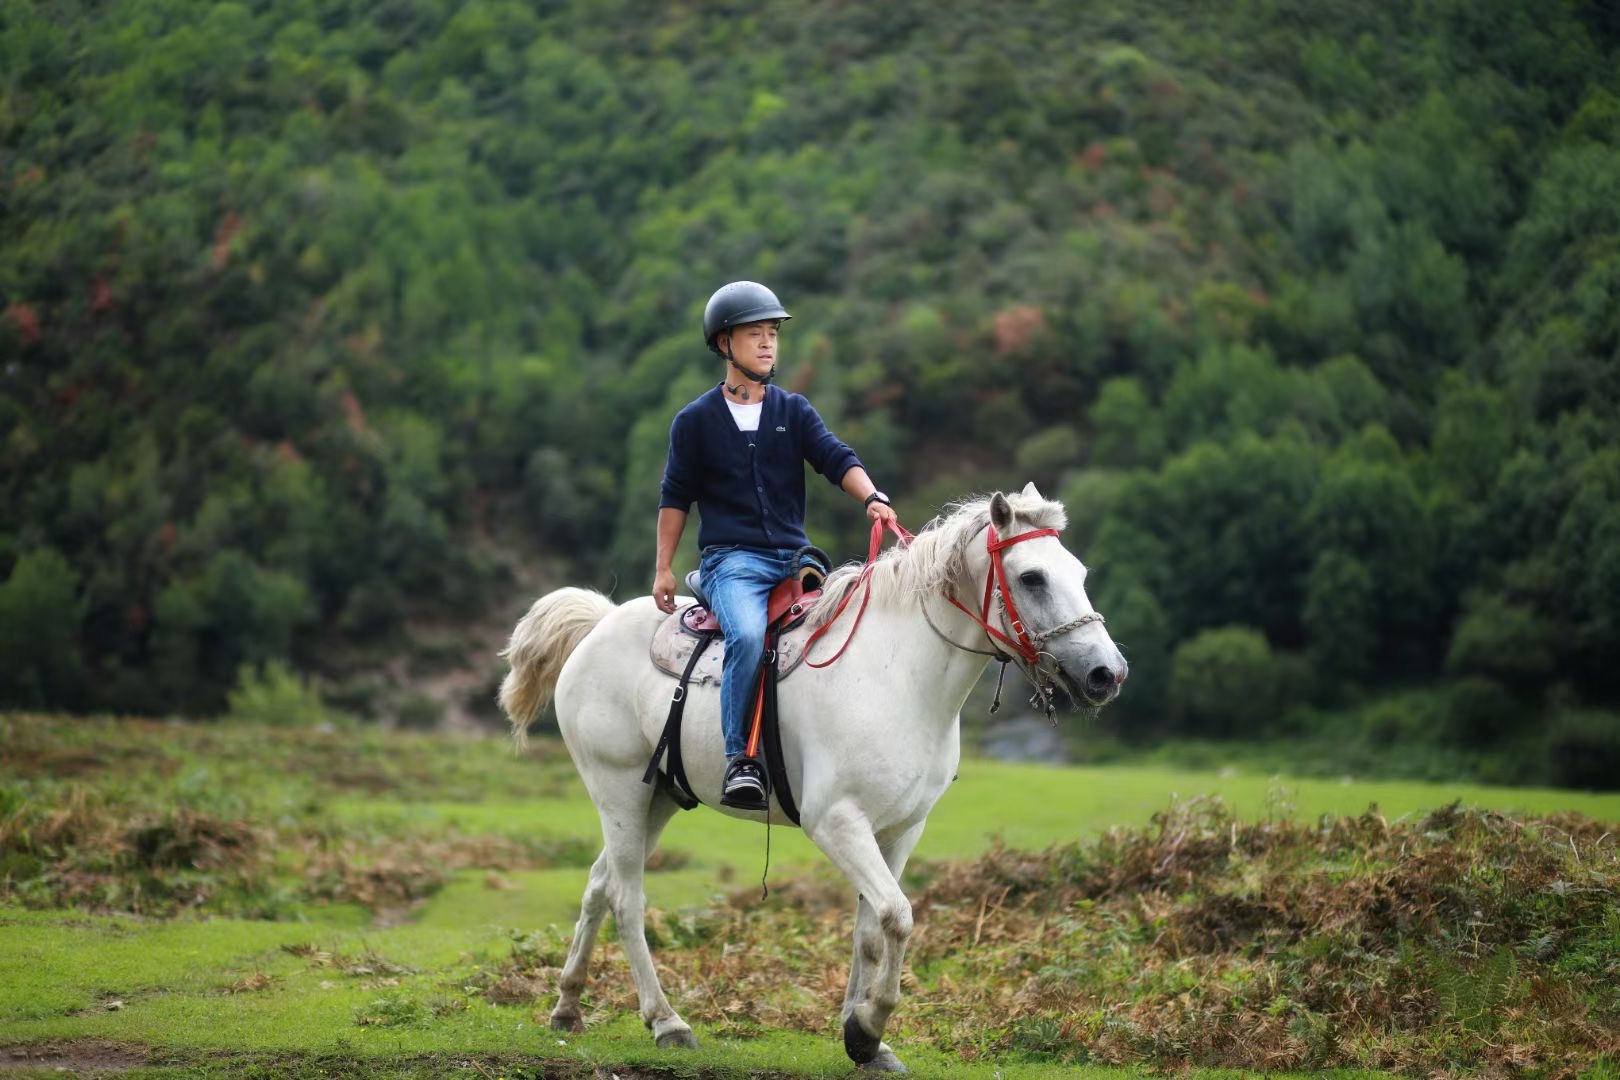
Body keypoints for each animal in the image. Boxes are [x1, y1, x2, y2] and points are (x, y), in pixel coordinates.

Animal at [498, 488, 1121, 1075]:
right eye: (1032, 577)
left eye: (1080, 573)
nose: (1106, 674)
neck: (897, 674)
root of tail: (598, 625)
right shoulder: (838, 823)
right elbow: (898, 917)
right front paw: (868, 1026)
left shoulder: (899, 831)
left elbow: (871, 930)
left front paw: (865, 1039)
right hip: (620, 792)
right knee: (627, 899)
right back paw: (666, 1021)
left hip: (659, 799)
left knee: (599, 884)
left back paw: (567, 1008)